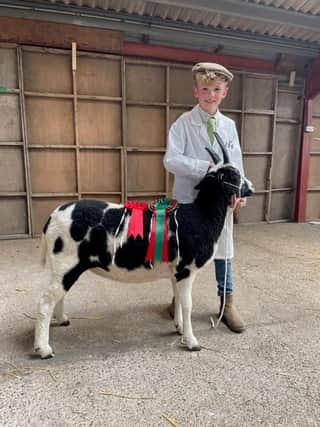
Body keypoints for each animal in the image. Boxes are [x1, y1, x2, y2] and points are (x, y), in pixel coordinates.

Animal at [33, 157, 254, 358]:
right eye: (234, 176)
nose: (251, 188)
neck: (201, 216)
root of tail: (52, 217)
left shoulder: (175, 272)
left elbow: (178, 300)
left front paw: (179, 328)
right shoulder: (186, 270)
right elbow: (187, 305)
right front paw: (192, 342)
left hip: (64, 266)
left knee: (58, 295)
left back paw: (62, 319)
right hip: (66, 262)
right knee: (45, 302)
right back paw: (43, 349)